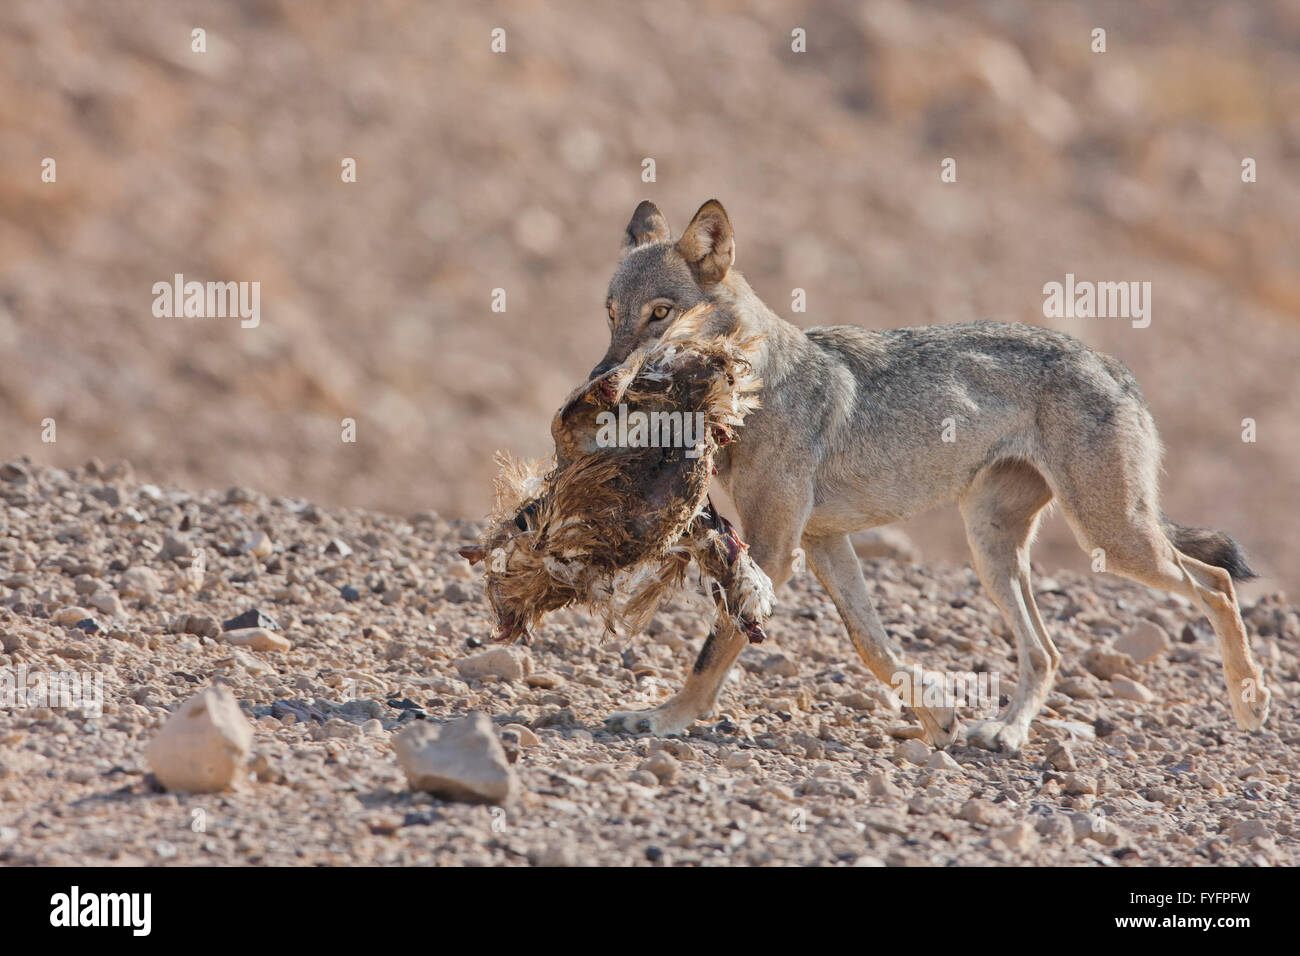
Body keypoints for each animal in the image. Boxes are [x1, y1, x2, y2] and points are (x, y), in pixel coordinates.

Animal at [595, 200, 1274, 754]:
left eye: (661, 314)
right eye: (612, 314)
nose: (605, 381)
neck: (757, 384)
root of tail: (1112, 363)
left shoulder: (775, 548)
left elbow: (714, 649)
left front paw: (664, 718)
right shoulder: (822, 543)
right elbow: (872, 646)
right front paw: (937, 717)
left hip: (1111, 537)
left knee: (1215, 583)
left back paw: (1250, 702)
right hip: (992, 548)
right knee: (1047, 651)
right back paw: (1006, 732)